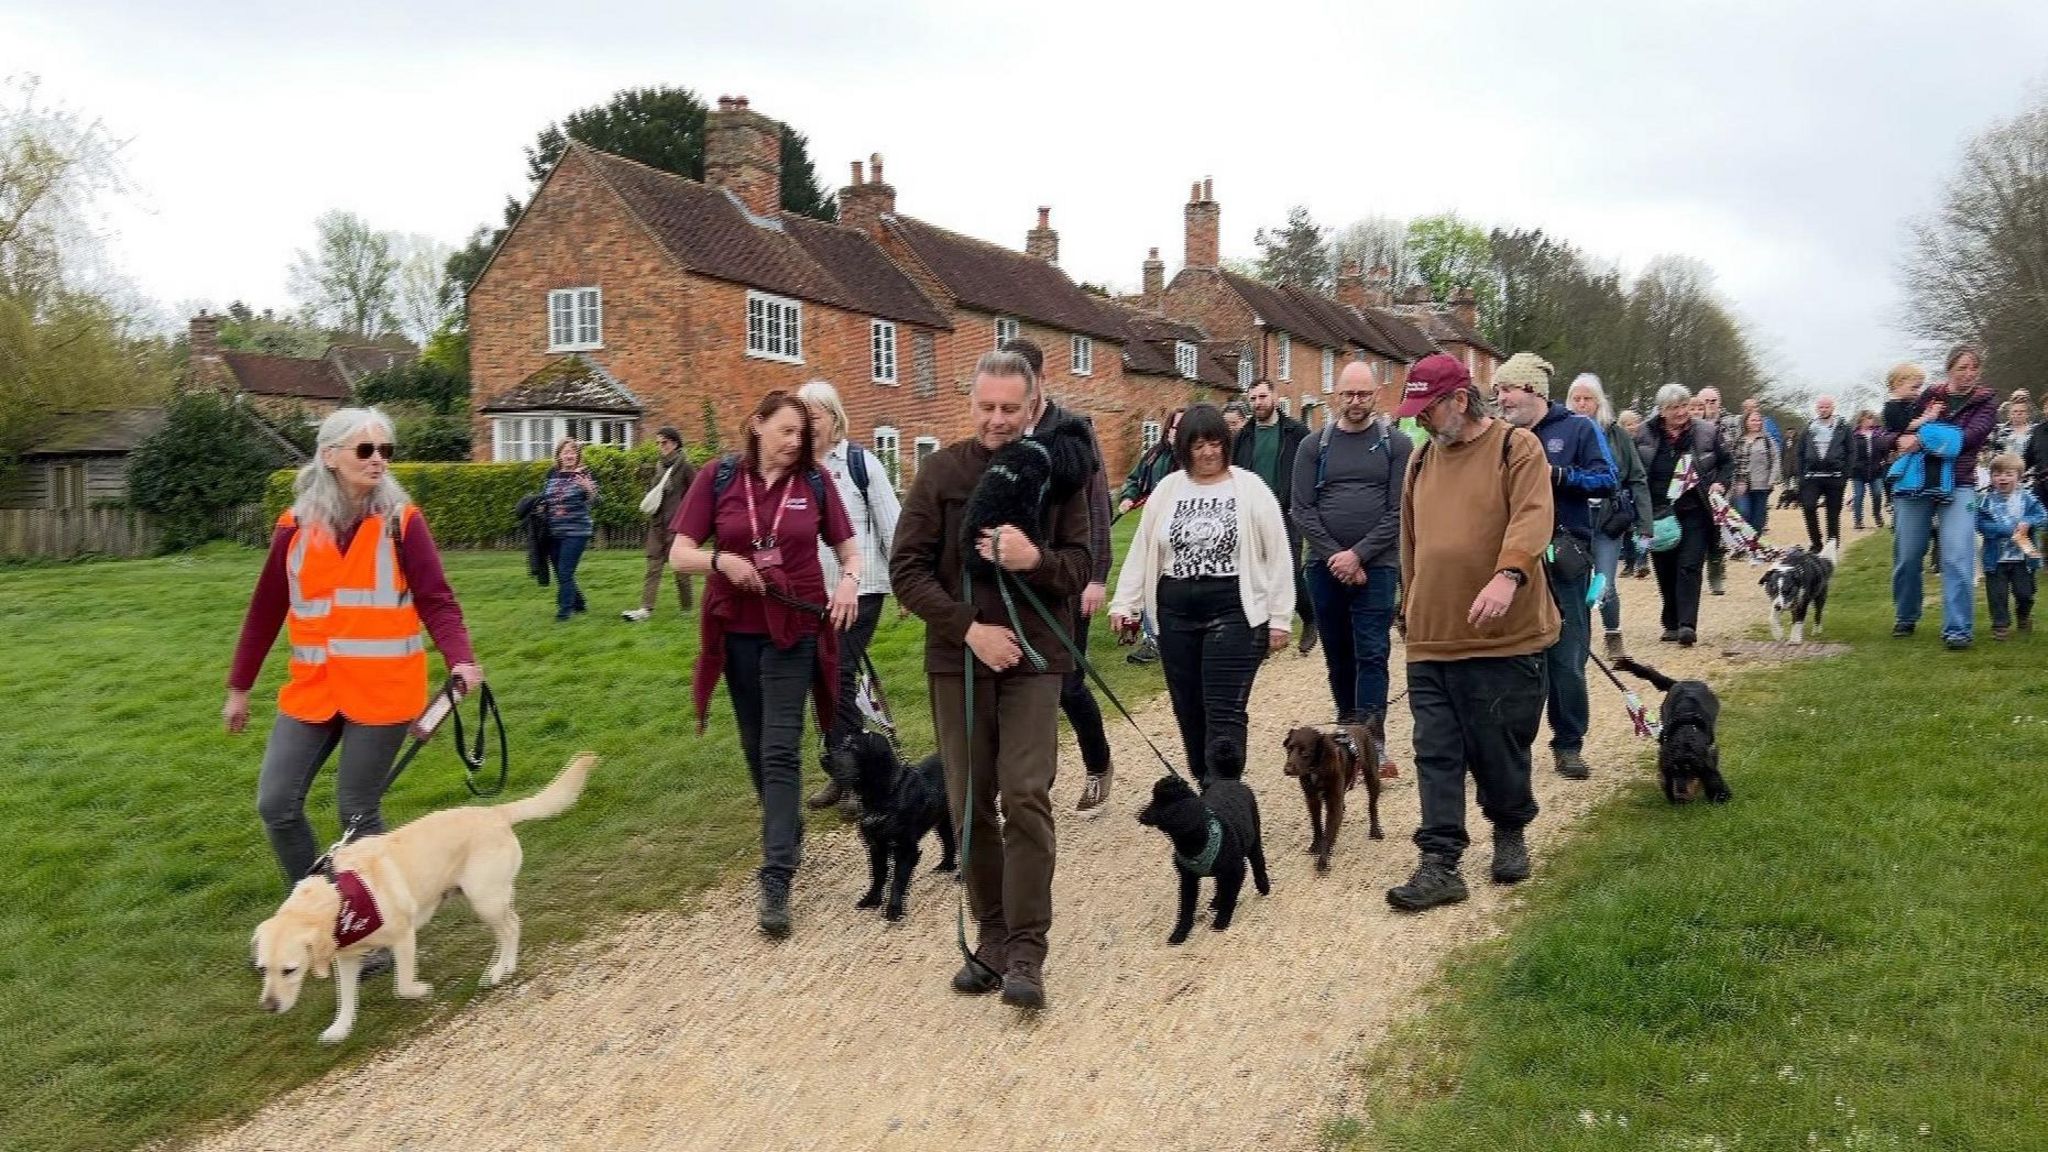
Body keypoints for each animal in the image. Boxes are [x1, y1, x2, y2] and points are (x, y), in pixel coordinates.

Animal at [823, 725, 958, 914]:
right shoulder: (875, 845)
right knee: (949, 843)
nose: (824, 757)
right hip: (942, 821)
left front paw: (894, 908)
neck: (884, 796)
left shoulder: (905, 847)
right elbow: (878, 875)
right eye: (842, 744)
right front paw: (871, 899)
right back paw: (946, 865)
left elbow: (898, 879)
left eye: (854, 748)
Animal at [1613, 655, 1728, 799]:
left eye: (1690, 769)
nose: (1680, 795)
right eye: (1674, 770)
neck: (1685, 731)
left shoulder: (1709, 753)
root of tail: (1679, 682)